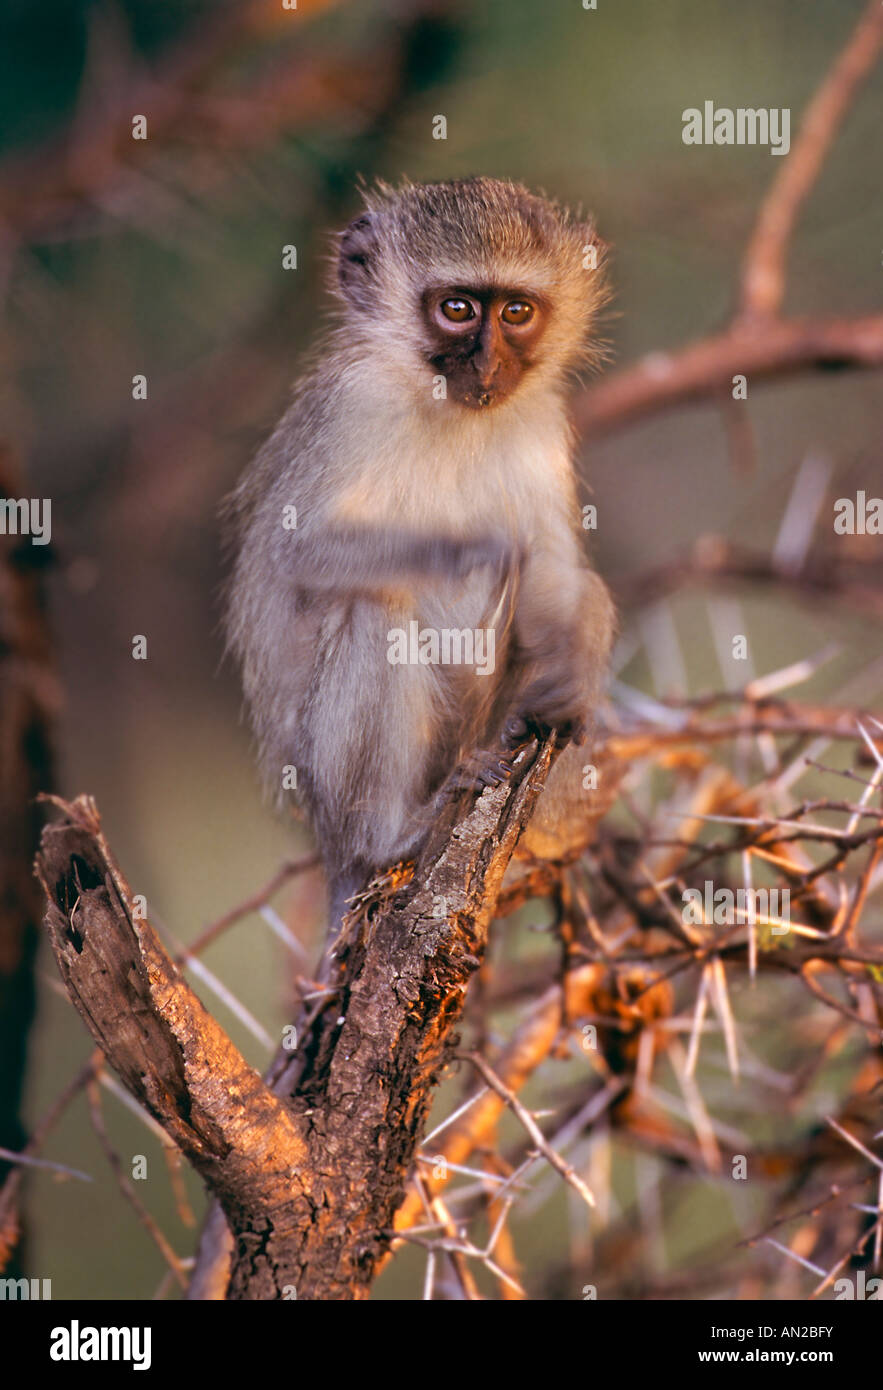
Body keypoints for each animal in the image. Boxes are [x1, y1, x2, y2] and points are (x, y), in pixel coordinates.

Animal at [223, 173, 617, 934]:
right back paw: (388, 837)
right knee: (377, 604)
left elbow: (554, 573)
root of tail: (329, 846)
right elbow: (299, 548)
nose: (488, 364)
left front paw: (577, 664)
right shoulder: (354, 404)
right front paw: (483, 544)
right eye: (457, 309)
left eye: (517, 311)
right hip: (329, 781)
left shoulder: (540, 418)